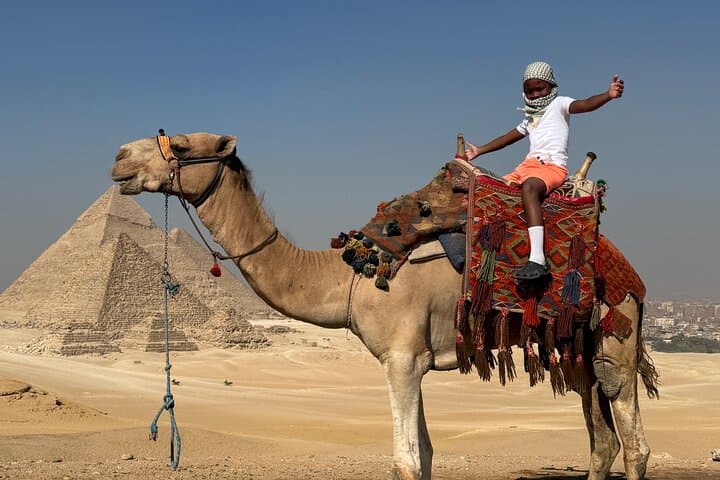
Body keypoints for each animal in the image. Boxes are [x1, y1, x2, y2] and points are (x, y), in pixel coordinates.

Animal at [111, 132, 658, 480]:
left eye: (182, 145)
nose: (119, 158)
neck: (350, 276)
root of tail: (627, 267)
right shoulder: (410, 361)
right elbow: (426, 457)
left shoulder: (401, 360)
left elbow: (407, 461)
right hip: (575, 347)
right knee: (603, 443)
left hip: (616, 338)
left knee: (634, 445)